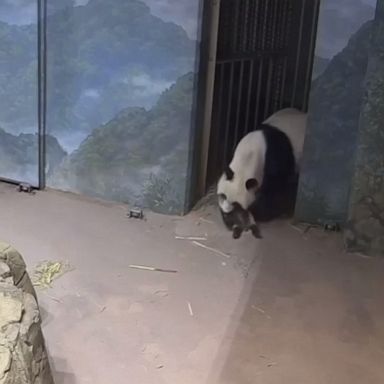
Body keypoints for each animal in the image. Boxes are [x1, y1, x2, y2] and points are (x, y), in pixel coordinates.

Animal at [218, 106, 308, 237]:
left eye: (237, 206)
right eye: (222, 196)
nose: (226, 211)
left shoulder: (277, 161)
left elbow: (276, 192)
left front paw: (260, 212)